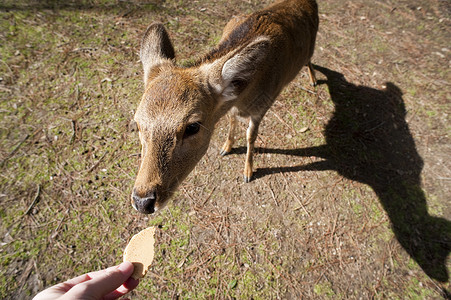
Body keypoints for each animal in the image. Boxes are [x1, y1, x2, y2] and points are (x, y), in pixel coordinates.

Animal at [132, 0, 320, 214]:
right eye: (137, 124)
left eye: (193, 126)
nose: (143, 201)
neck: (244, 96)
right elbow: (232, 119)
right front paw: (226, 147)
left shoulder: (263, 106)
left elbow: (251, 136)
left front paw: (248, 172)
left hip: (312, 46)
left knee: (310, 60)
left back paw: (314, 80)